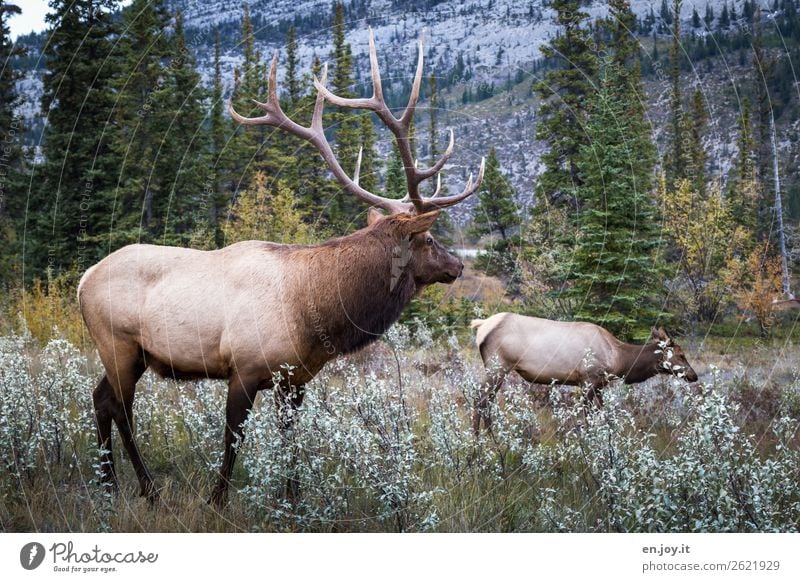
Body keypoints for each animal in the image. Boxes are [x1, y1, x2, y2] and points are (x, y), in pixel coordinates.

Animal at [78, 29, 484, 508]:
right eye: (429, 239)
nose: (458, 266)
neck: (315, 311)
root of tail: (82, 281)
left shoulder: (296, 379)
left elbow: (291, 440)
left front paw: (293, 500)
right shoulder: (244, 368)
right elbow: (233, 438)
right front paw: (218, 500)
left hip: (134, 354)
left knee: (100, 398)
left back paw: (108, 485)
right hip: (117, 343)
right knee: (121, 407)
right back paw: (147, 488)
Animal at [472, 314, 696, 434]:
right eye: (681, 355)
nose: (694, 375)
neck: (617, 359)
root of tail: (481, 326)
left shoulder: (598, 385)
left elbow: (603, 414)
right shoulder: (588, 379)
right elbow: (588, 417)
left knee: (486, 400)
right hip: (498, 366)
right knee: (481, 399)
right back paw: (484, 442)